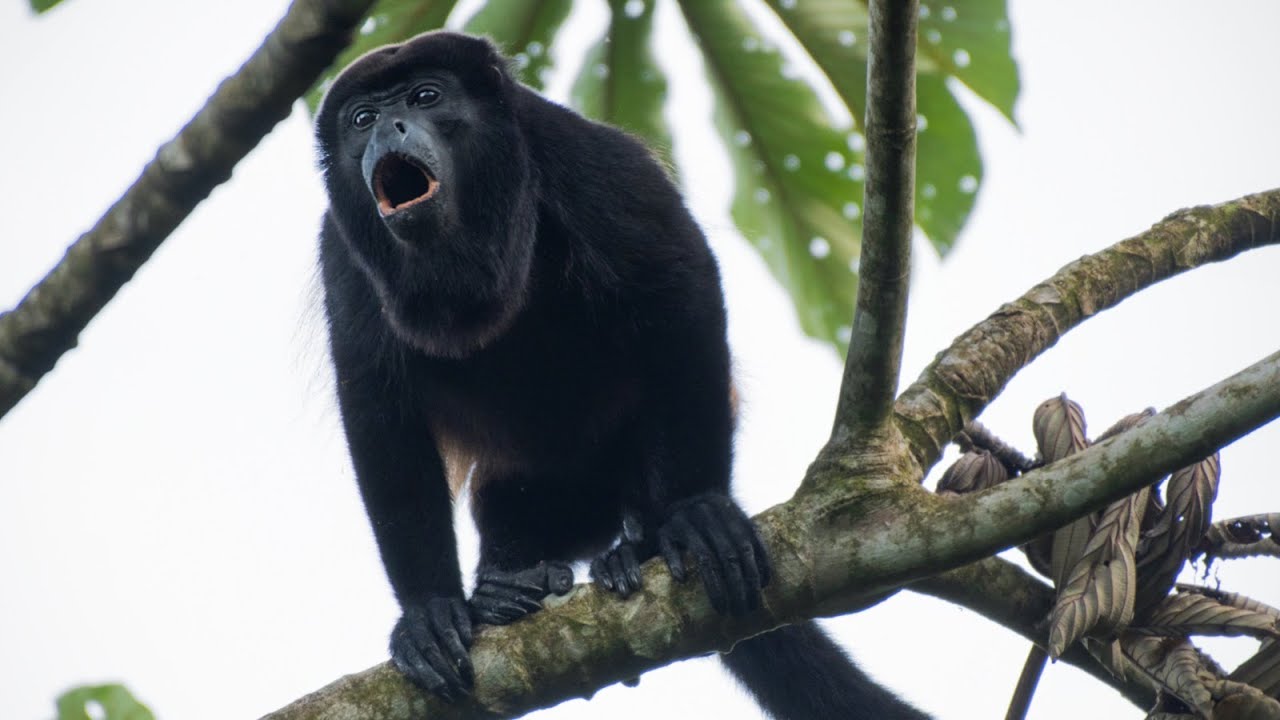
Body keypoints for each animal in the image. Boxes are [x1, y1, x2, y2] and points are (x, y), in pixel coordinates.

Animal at [314, 30, 929, 720]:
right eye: (361, 119)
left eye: (425, 97)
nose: (386, 128)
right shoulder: (340, 249)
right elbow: (376, 405)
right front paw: (428, 612)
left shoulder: (586, 157)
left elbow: (679, 286)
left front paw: (695, 512)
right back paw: (506, 591)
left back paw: (649, 542)